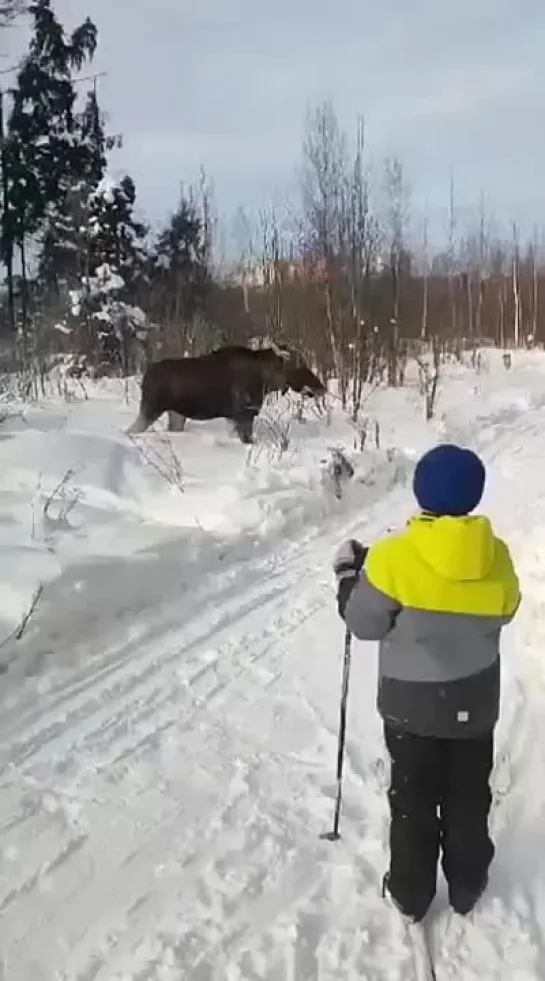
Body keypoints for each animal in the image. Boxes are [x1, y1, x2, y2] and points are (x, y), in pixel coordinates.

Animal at [125, 340, 326, 440]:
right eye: (298, 366)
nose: (321, 388)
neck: (267, 382)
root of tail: (145, 376)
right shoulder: (243, 414)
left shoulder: (234, 417)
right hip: (151, 408)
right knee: (130, 430)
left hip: (176, 414)